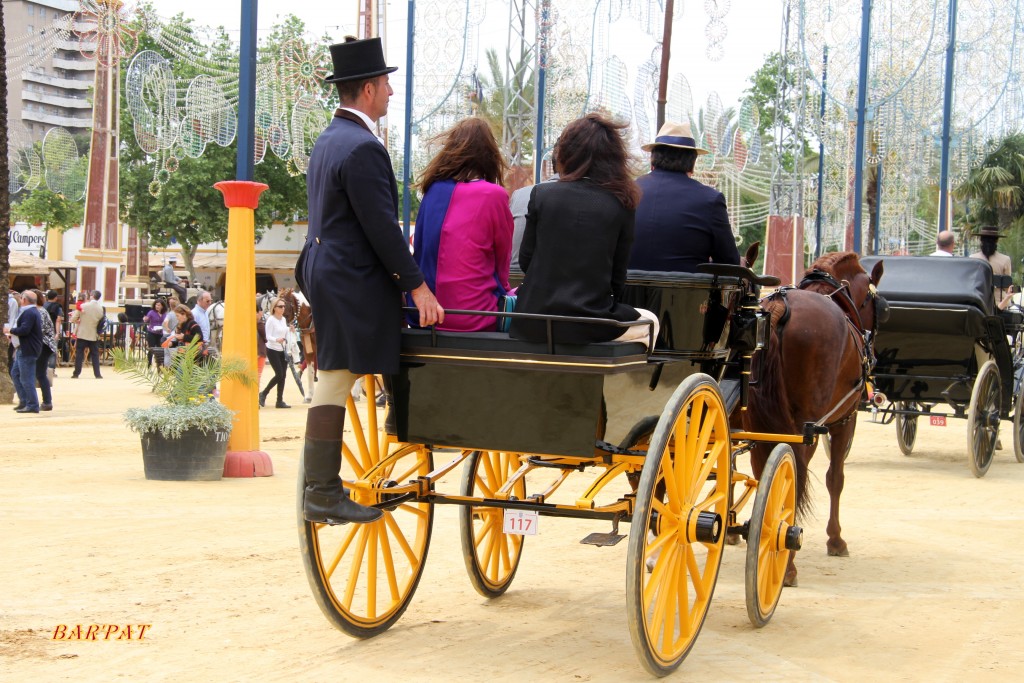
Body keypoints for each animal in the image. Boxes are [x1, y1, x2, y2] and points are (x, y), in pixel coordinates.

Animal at [741, 253, 884, 585]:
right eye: (878, 304)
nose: (872, 346)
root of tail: (780, 306)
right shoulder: (842, 422)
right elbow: (835, 478)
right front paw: (836, 539)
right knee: (794, 475)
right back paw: (788, 559)